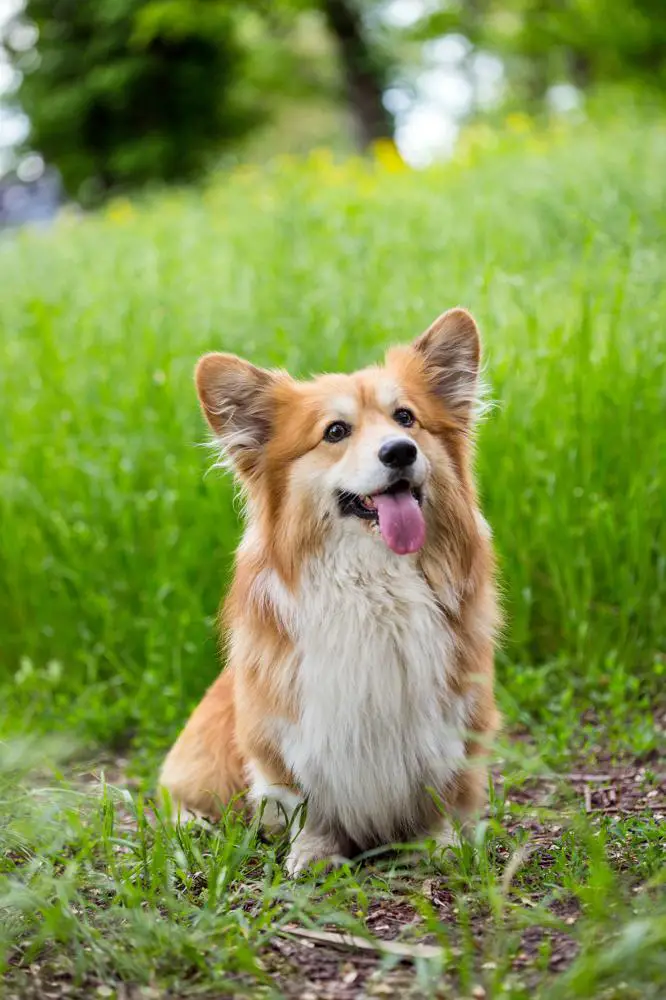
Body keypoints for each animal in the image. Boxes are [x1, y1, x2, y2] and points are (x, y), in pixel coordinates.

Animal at [158, 308, 496, 872]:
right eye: (335, 431)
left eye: (406, 418)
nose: (400, 451)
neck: (375, 583)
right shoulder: (285, 734)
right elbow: (306, 799)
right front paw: (314, 854)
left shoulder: (454, 712)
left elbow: (441, 788)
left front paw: (438, 845)